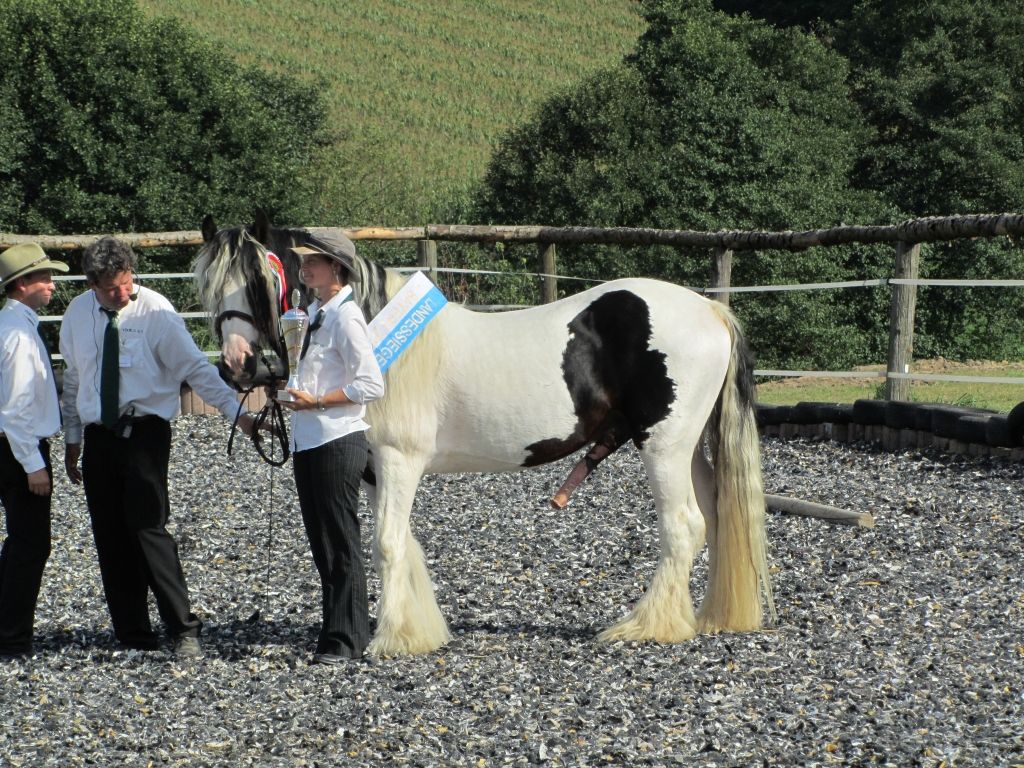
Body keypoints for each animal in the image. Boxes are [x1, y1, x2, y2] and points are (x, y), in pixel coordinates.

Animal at [193, 213, 775, 656]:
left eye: (260, 281)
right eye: (208, 285)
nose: (240, 366)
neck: (377, 339)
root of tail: (711, 310)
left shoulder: (400, 460)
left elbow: (386, 544)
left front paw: (392, 642)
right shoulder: (376, 472)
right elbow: (404, 544)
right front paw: (419, 631)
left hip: (664, 447)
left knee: (683, 527)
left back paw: (649, 627)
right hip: (689, 450)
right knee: (717, 516)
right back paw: (712, 616)